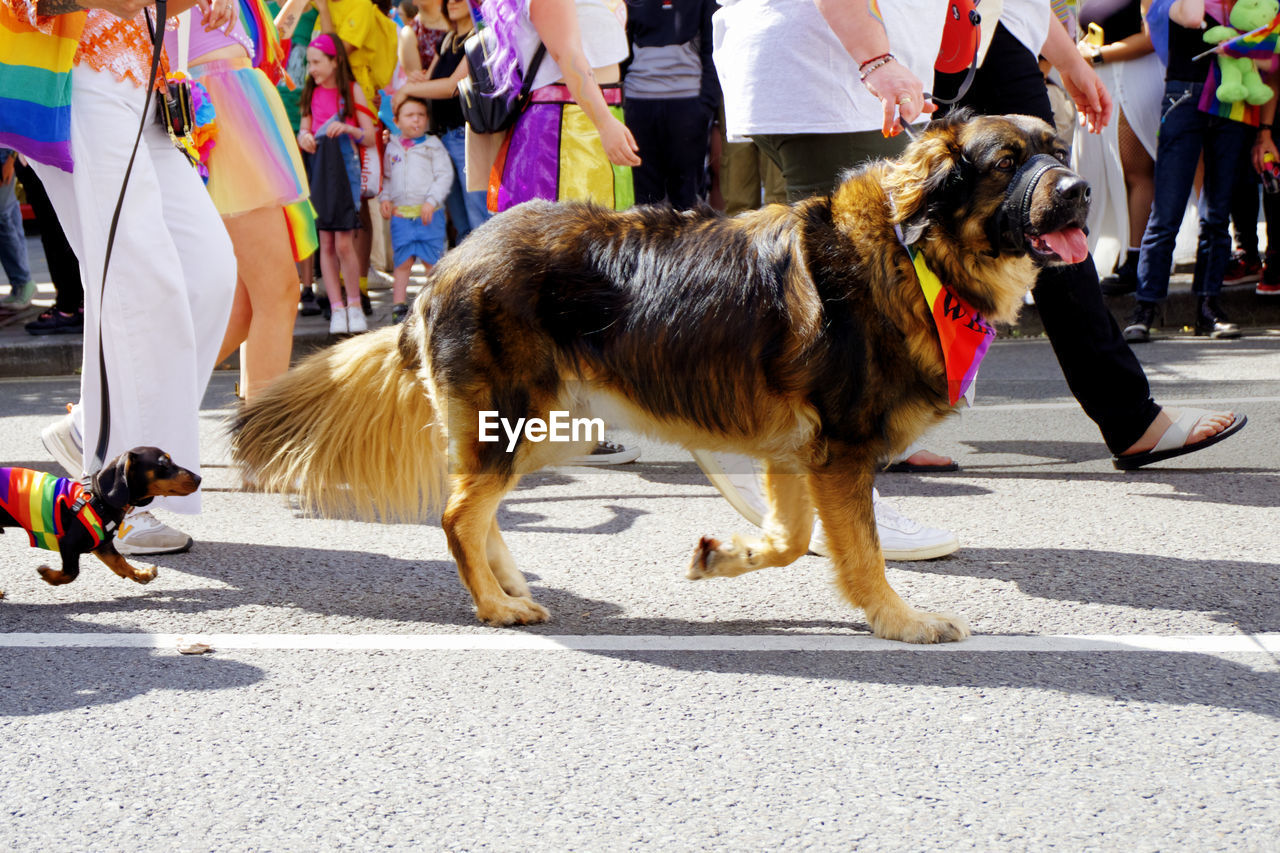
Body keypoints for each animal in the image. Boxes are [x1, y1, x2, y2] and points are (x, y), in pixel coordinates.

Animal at [0, 445, 199, 591]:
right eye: (163, 464)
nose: (199, 478)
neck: (99, 498)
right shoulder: (68, 543)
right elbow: (72, 572)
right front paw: (49, 575)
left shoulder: (102, 544)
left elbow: (119, 561)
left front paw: (140, 573)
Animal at [232, 114, 1090, 645]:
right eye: (1007, 163)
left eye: (1061, 150)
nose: (1081, 190)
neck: (919, 253)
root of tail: (445, 266)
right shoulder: (840, 453)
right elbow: (860, 553)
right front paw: (899, 619)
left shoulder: (795, 455)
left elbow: (792, 540)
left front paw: (724, 555)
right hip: (520, 421)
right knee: (456, 514)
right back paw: (493, 605)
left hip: (552, 432)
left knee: (477, 510)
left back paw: (508, 585)